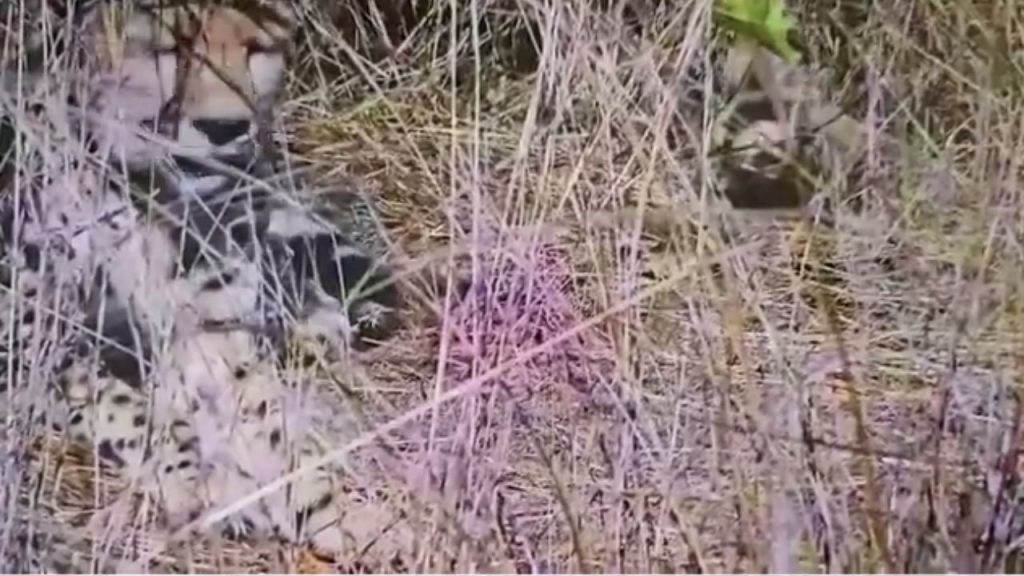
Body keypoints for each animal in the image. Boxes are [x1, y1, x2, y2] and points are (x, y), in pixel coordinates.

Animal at [0, 0, 409, 570]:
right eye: (173, 46)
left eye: (256, 47)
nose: (224, 128)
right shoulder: (24, 339)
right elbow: (122, 404)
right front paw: (199, 481)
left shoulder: (209, 330)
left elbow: (264, 415)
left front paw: (332, 507)